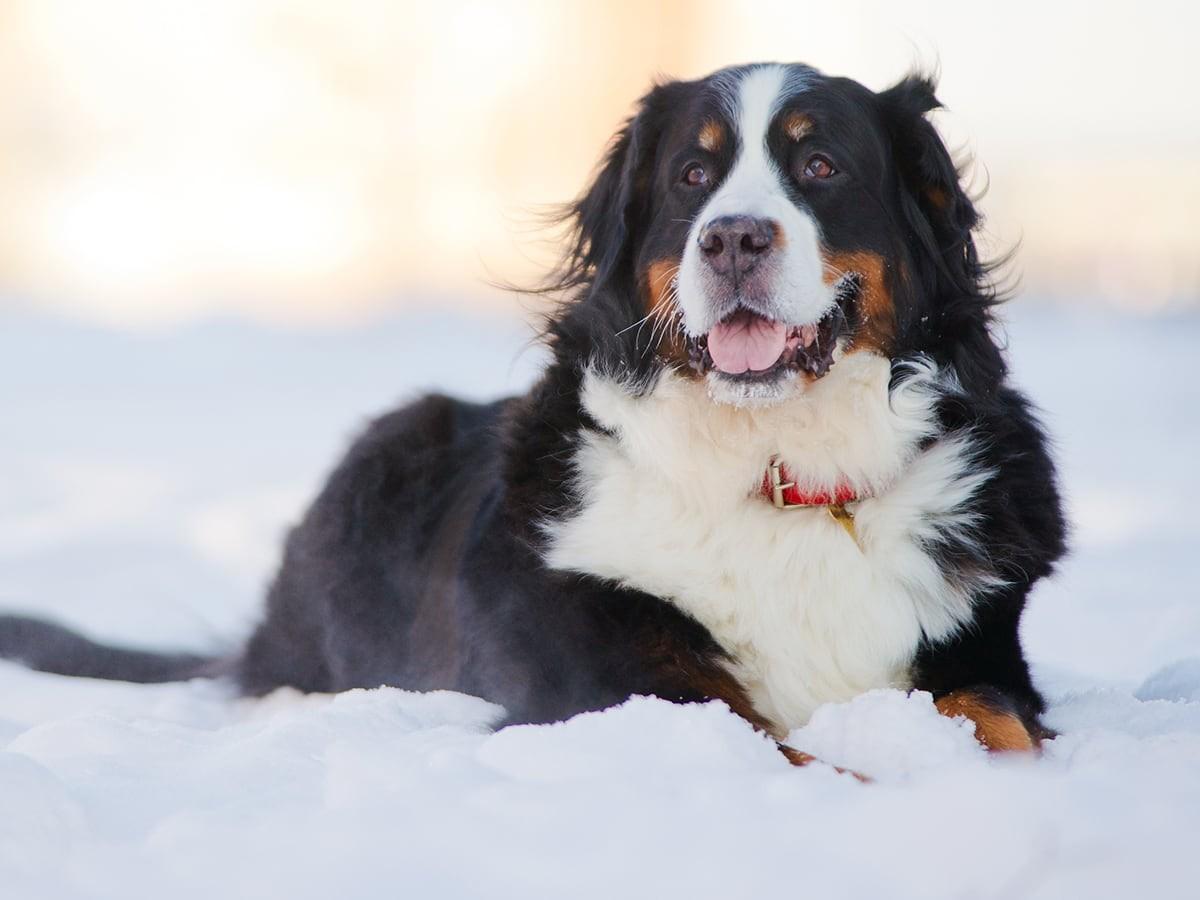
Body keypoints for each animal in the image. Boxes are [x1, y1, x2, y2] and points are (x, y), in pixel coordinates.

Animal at [0, 61, 1070, 763]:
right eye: (692, 176)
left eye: (821, 167)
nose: (731, 238)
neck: (777, 469)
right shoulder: (601, 674)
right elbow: (778, 747)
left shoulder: (979, 649)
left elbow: (1001, 722)